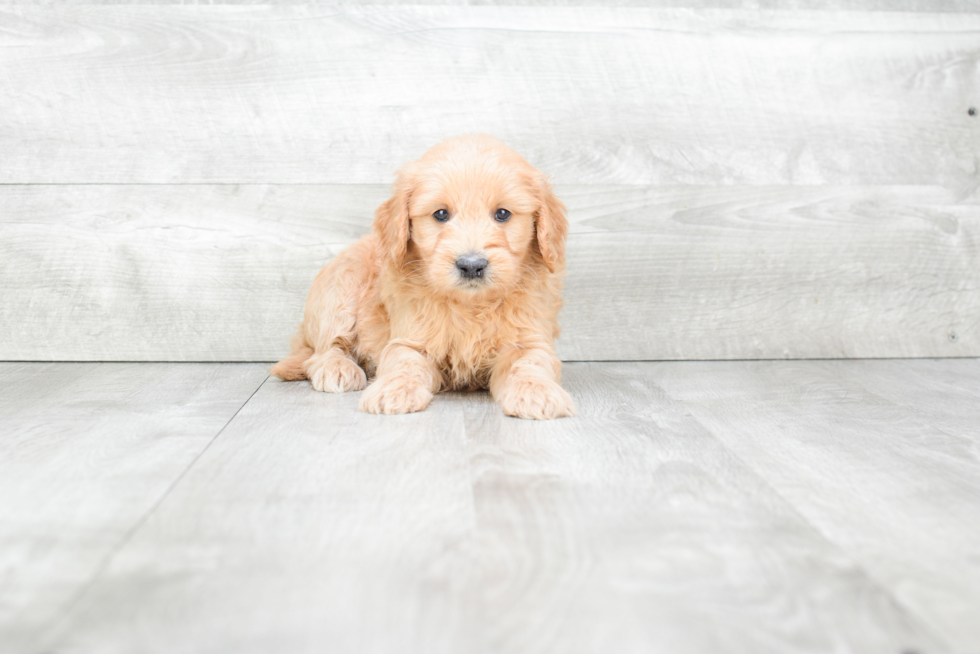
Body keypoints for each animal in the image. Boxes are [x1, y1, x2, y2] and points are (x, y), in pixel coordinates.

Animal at [268, 135, 576, 420]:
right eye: (440, 214)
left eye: (502, 214)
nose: (471, 265)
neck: (470, 305)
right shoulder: (409, 338)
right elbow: (404, 362)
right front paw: (393, 390)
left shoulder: (531, 339)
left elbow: (529, 363)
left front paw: (536, 392)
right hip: (340, 288)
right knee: (323, 349)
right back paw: (338, 368)